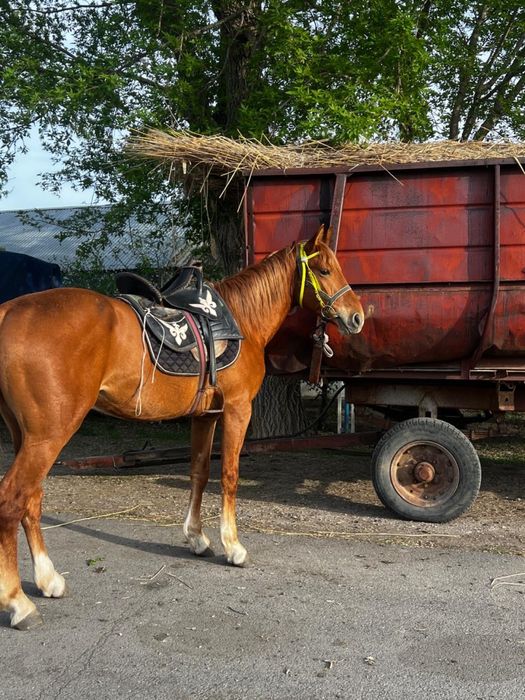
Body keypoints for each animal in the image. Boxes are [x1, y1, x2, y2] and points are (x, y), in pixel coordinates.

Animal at [0, 225, 364, 630]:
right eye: (325, 270)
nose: (357, 317)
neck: (242, 319)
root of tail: (8, 311)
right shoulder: (237, 409)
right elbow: (230, 474)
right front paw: (233, 546)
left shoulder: (204, 415)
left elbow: (199, 472)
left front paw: (196, 538)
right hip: (49, 435)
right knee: (12, 499)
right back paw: (17, 602)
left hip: (27, 436)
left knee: (31, 499)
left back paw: (48, 580)